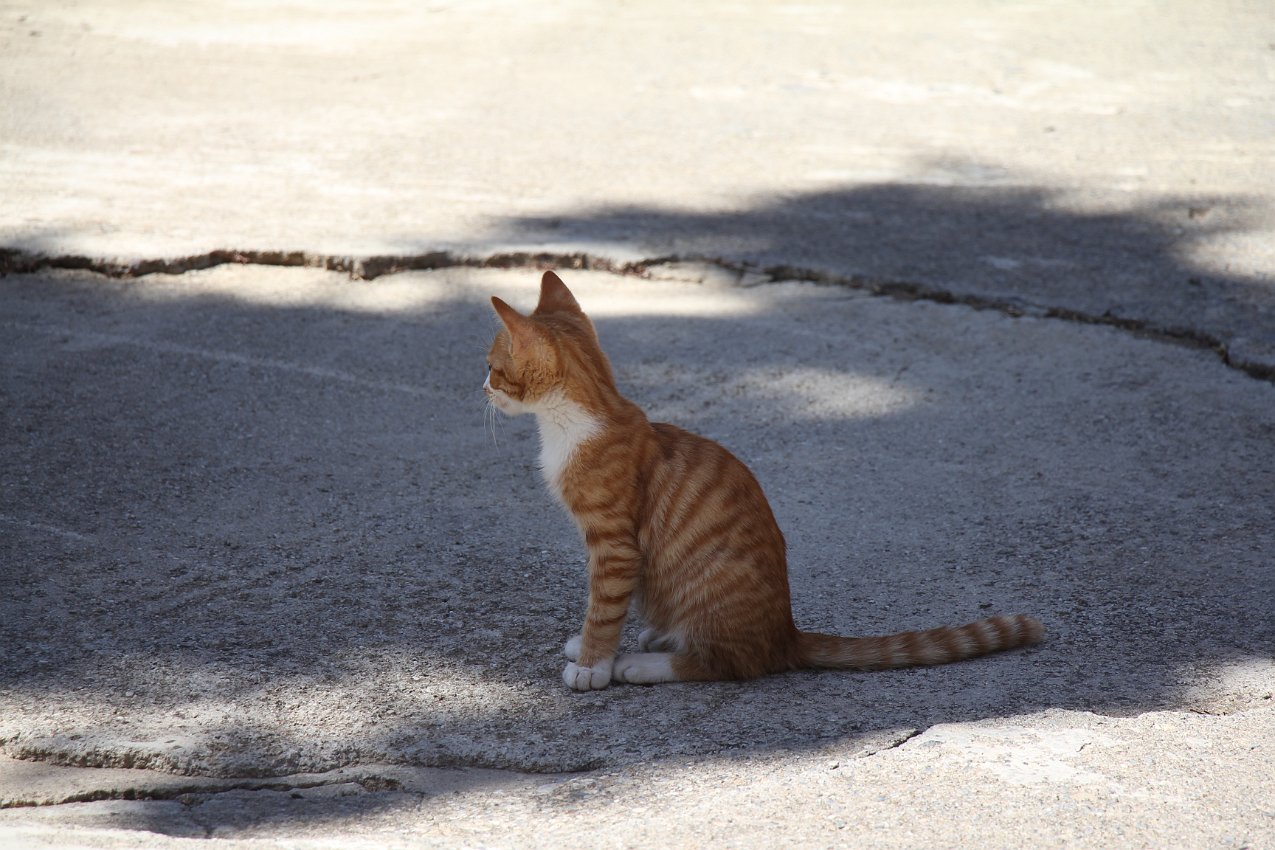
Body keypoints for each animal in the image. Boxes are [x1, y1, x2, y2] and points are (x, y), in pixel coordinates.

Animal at [484, 271, 1043, 691]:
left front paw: (593, 665)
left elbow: (603, 606)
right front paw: (588, 647)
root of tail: (786, 633)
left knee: (729, 664)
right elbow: (600, 604)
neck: (579, 418)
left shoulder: (614, 546)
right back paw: (657, 637)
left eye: (491, 367)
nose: (481, 387)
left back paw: (643, 663)